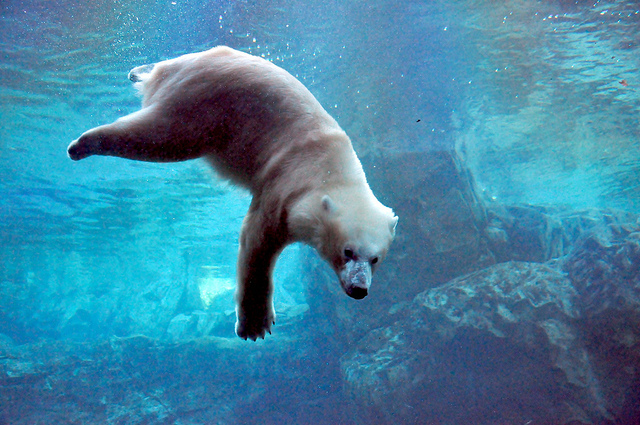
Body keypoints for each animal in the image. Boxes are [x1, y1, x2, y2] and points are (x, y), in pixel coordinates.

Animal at [67, 46, 398, 340]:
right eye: (347, 251)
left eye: (376, 258)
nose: (360, 290)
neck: (334, 169)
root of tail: (180, 66)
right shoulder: (286, 184)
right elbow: (258, 239)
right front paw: (255, 324)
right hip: (203, 105)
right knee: (159, 137)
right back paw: (80, 144)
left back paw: (136, 72)